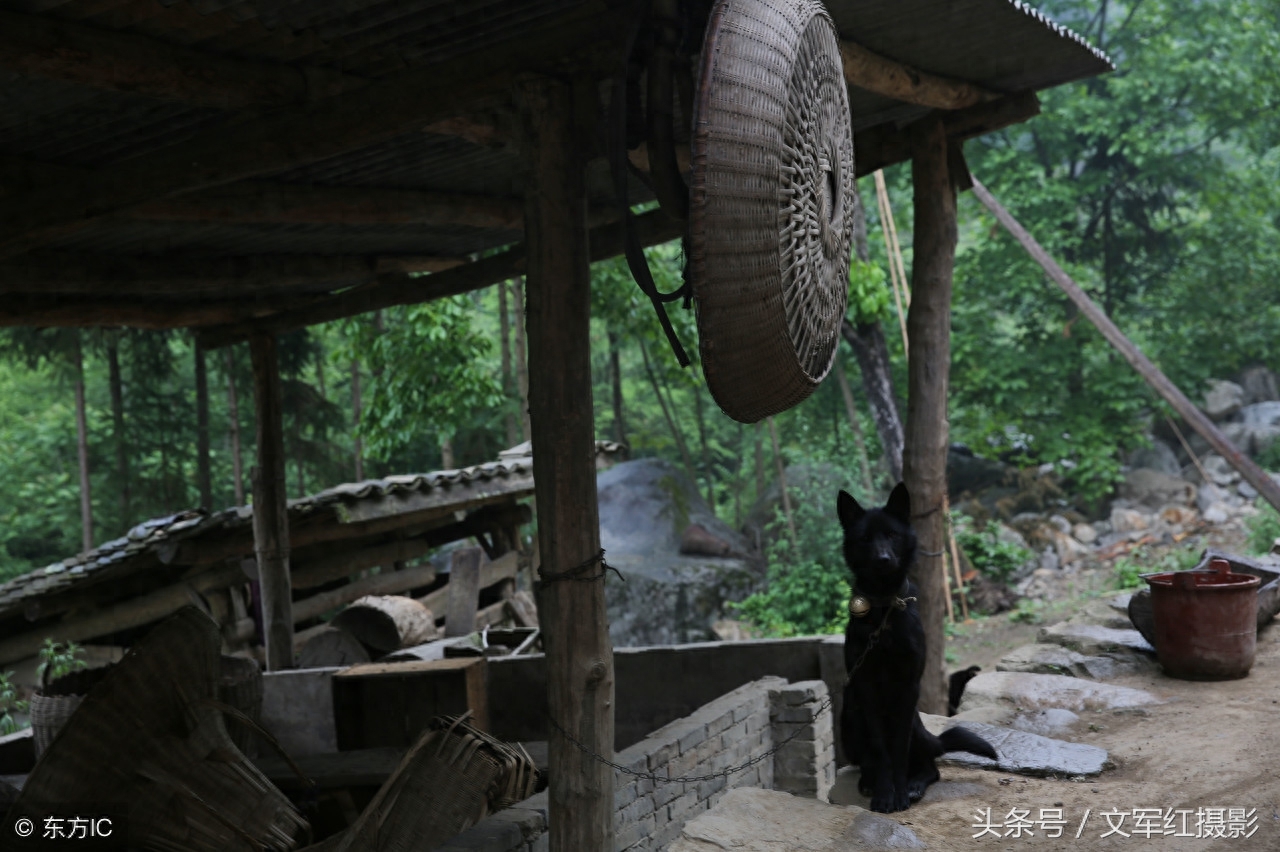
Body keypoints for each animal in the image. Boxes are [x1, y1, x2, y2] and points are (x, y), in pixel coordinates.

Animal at [839, 483, 998, 808]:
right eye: (865, 539)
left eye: (892, 535)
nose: (883, 559)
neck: (884, 612)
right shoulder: (865, 689)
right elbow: (881, 750)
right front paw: (885, 794)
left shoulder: (909, 687)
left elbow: (899, 749)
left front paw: (899, 793)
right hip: (849, 713)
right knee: (869, 760)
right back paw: (869, 782)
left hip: (912, 721)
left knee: (930, 766)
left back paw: (914, 785)